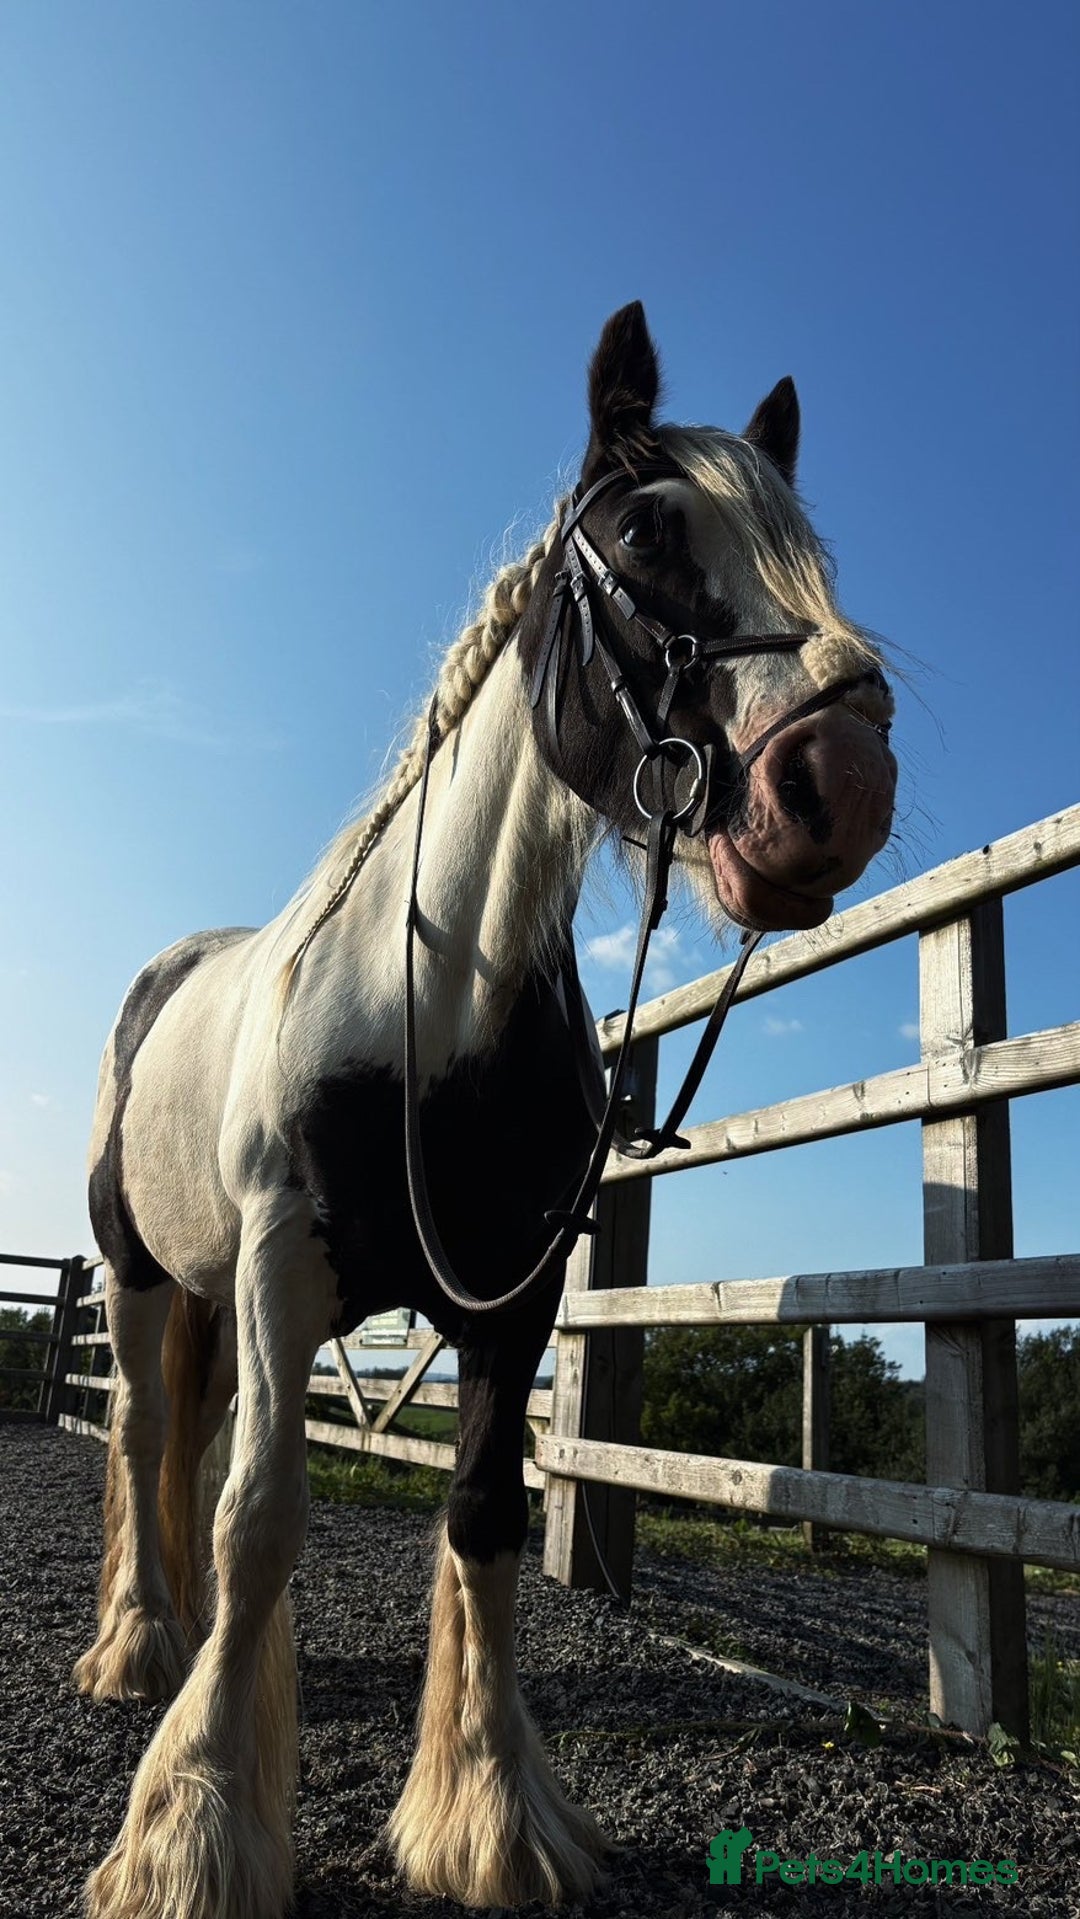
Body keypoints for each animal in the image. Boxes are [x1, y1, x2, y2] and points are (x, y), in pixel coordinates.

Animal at [75, 301, 897, 1918]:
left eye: (808, 544)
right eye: (646, 532)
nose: (841, 776)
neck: (428, 1018)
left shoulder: (510, 1303)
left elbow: (484, 1520)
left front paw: (489, 1813)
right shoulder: (282, 1267)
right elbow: (262, 1515)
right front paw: (195, 1826)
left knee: (187, 1445)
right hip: (149, 1279)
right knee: (145, 1436)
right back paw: (141, 1644)